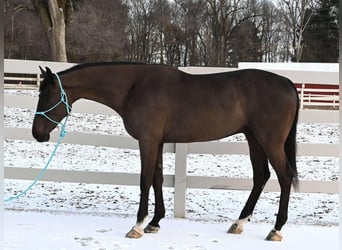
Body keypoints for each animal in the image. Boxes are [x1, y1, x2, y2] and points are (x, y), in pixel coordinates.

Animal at [32, 62, 300, 240]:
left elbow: (144, 180)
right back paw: (239, 223)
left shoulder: (148, 141)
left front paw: (137, 226)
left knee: (284, 176)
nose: (37, 133)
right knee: (261, 176)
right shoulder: (158, 142)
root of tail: (288, 83)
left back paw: (276, 229)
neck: (134, 87)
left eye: (47, 96)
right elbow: (158, 179)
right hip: (253, 138)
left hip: (269, 141)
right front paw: (154, 222)